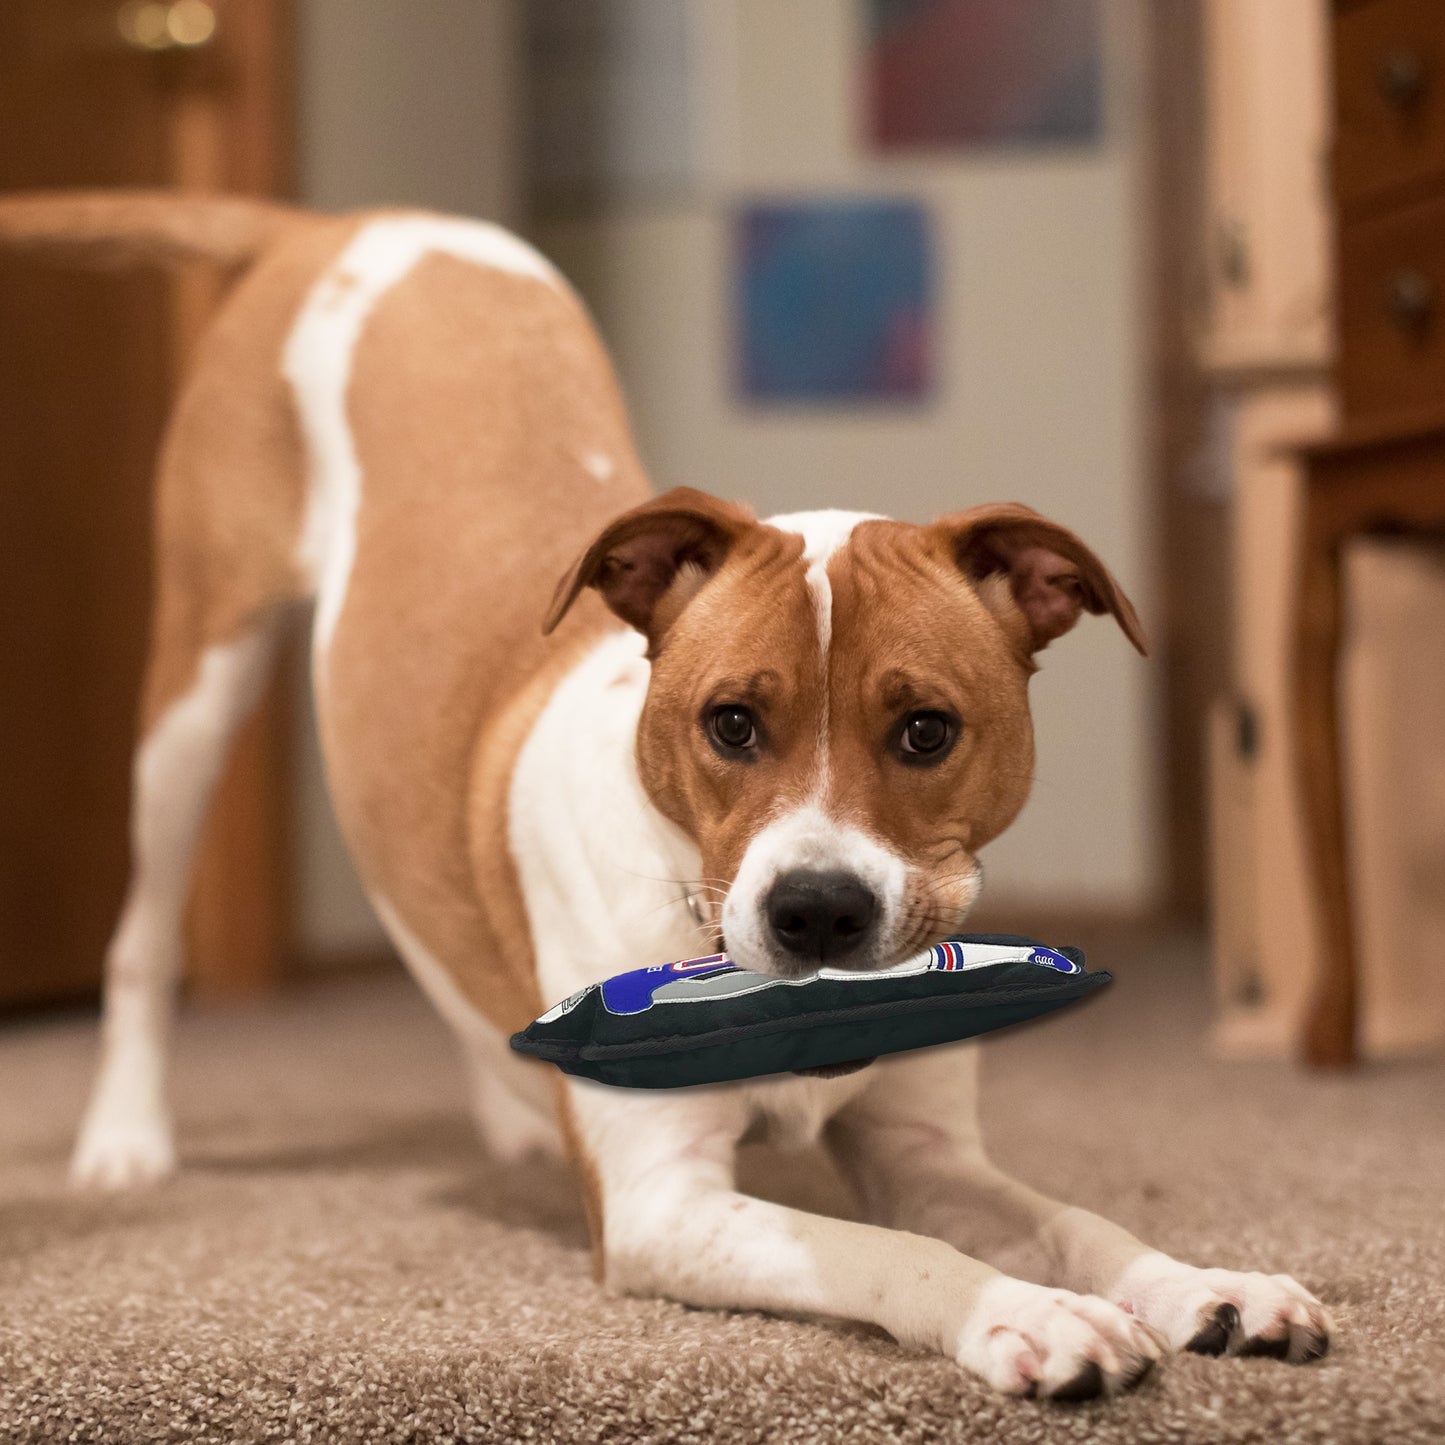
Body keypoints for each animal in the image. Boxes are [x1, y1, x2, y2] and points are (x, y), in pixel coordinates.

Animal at [2, 192, 1329, 1398]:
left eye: (927, 729)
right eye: (729, 722)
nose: (816, 908)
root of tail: (333, 223)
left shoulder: (925, 1147)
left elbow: (1075, 1221)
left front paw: (1203, 1283)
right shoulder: (663, 1203)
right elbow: (889, 1249)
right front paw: (1026, 1313)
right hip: (195, 686)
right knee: (142, 932)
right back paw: (127, 1139)